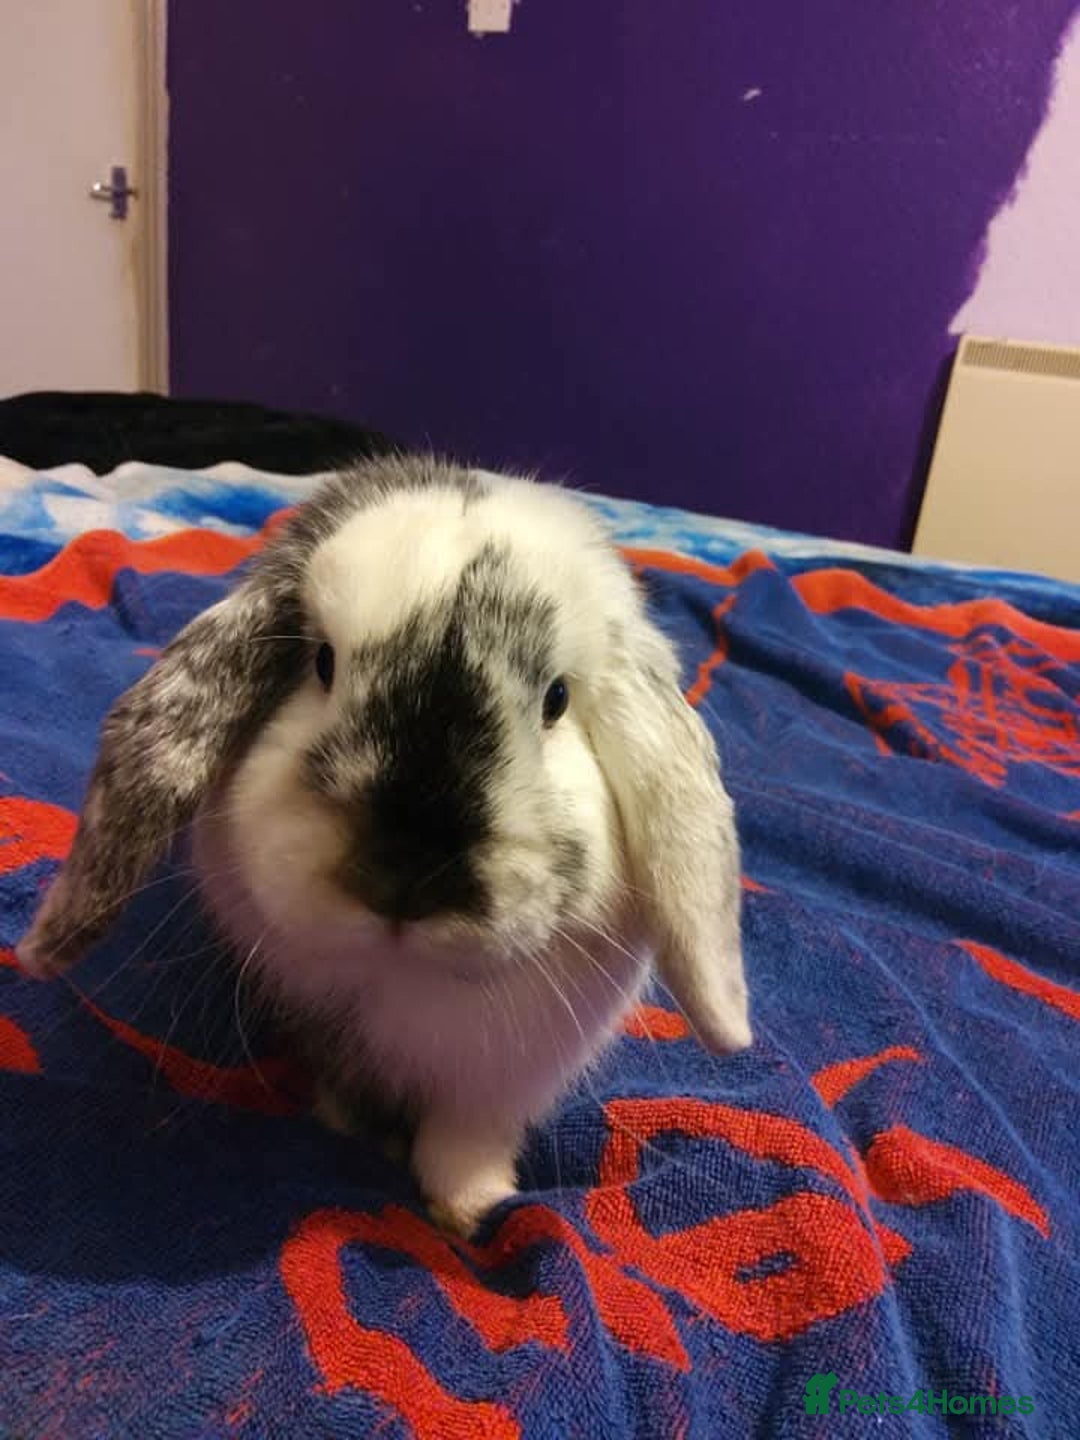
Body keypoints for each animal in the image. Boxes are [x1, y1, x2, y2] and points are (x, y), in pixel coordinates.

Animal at [16, 455, 751, 1237]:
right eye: (322, 663)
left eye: (555, 699)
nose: (405, 878)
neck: (411, 980)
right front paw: (356, 1131)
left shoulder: (500, 1084)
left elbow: (465, 1144)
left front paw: (473, 1212)